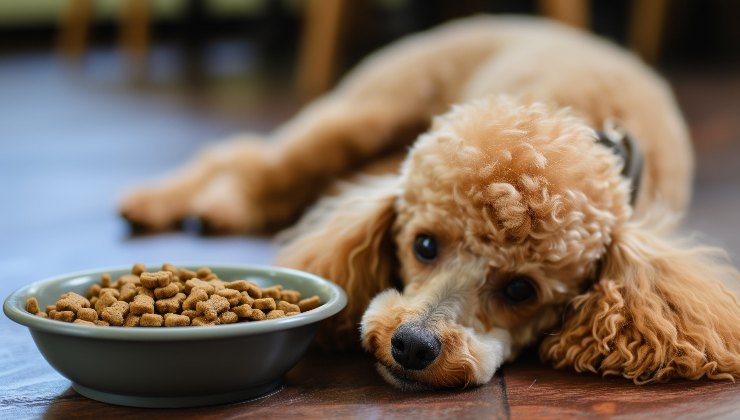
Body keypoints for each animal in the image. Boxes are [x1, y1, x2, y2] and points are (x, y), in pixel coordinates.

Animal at [121, 17, 740, 390]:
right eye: (423, 245)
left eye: (522, 290)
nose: (411, 346)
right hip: (364, 114)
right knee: (251, 156)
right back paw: (164, 203)